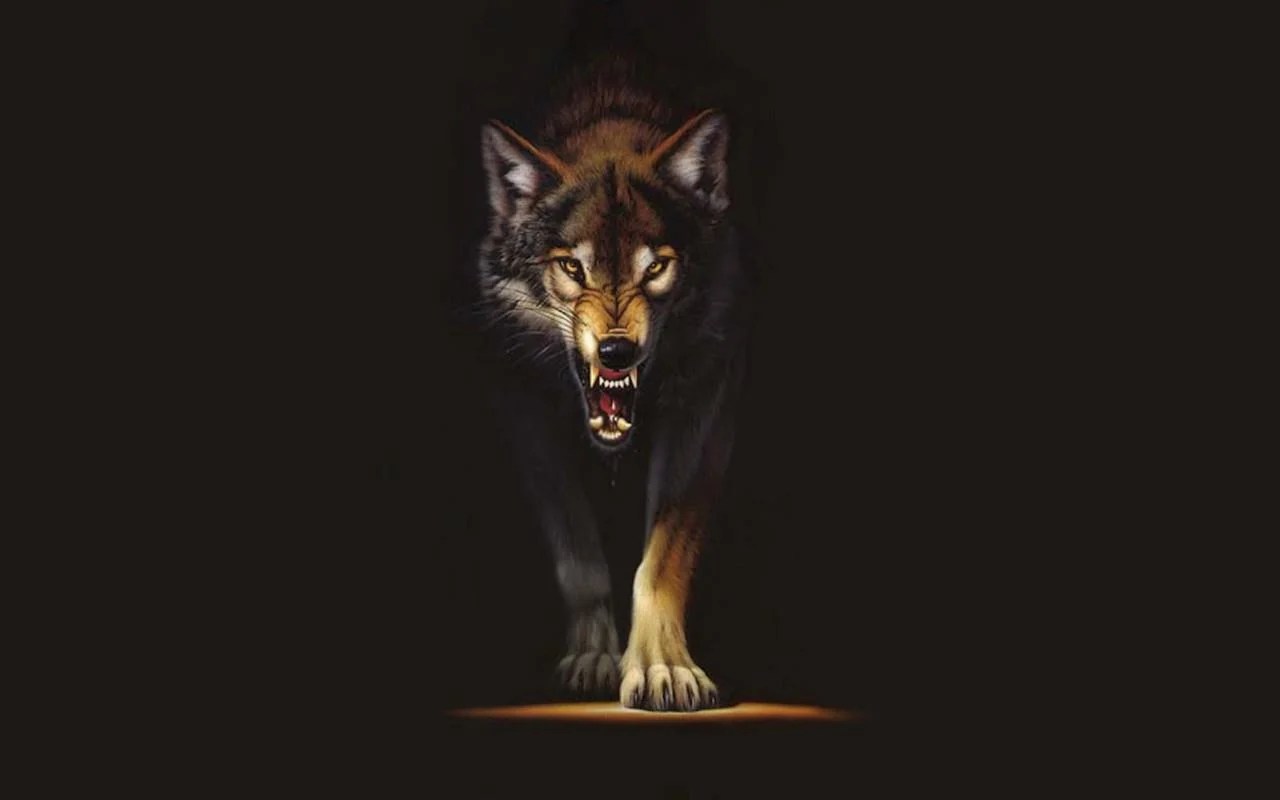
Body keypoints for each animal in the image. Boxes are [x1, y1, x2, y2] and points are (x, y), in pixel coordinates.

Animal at [474, 60, 748, 711]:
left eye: (656, 267)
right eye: (572, 268)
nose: (617, 352)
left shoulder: (707, 403)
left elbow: (661, 558)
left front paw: (662, 668)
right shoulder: (520, 404)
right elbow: (579, 554)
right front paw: (594, 658)